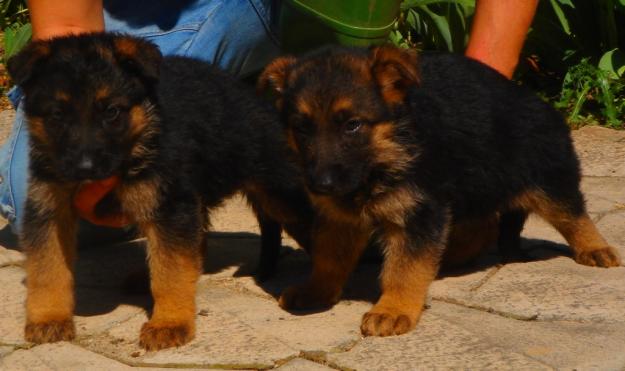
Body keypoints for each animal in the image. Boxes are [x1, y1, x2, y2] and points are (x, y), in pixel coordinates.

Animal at [7, 33, 312, 350]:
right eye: (57, 114)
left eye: (112, 112)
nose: (84, 167)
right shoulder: (49, 210)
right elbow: (47, 269)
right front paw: (49, 317)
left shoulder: (169, 207)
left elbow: (171, 271)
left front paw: (169, 323)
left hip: (282, 194)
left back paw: (314, 290)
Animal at [258, 45, 620, 338]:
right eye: (302, 128)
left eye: (352, 125)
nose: (321, 186)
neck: (385, 154)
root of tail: (541, 104)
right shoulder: (340, 218)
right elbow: (329, 257)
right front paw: (318, 290)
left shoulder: (419, 212)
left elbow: (404, 268)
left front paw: (393, 309)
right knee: (483, 227)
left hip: (548, 178)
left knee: (573, 214)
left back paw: (595, 248)